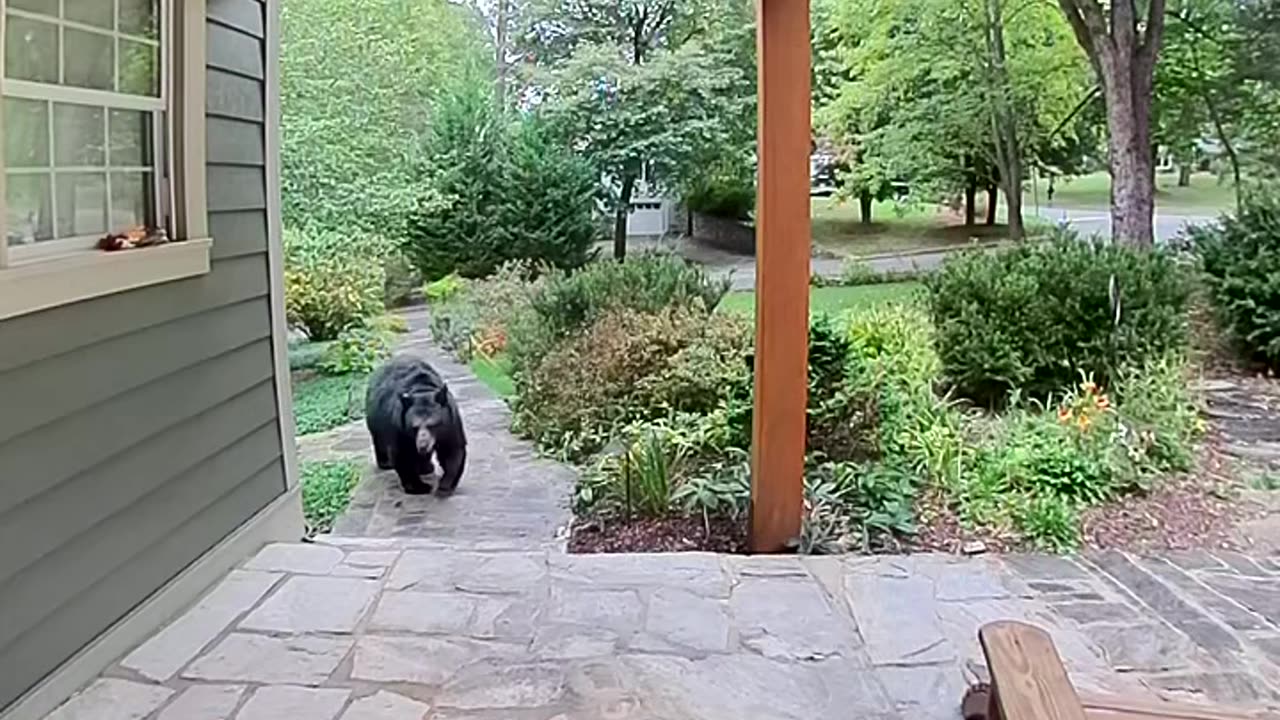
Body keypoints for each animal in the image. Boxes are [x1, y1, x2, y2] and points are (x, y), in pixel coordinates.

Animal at [363, 353, 468, 491]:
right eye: (414, 427)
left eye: (433, 425)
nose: (423, 445)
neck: (422, 390)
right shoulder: (398, 426)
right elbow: (402, 454)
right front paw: (420, 486)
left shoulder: (451, 421)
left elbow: (452, 449)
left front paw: (445, 484)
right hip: (375, 416)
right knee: (379, 440)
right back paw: (385, 463)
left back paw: (426, 467)